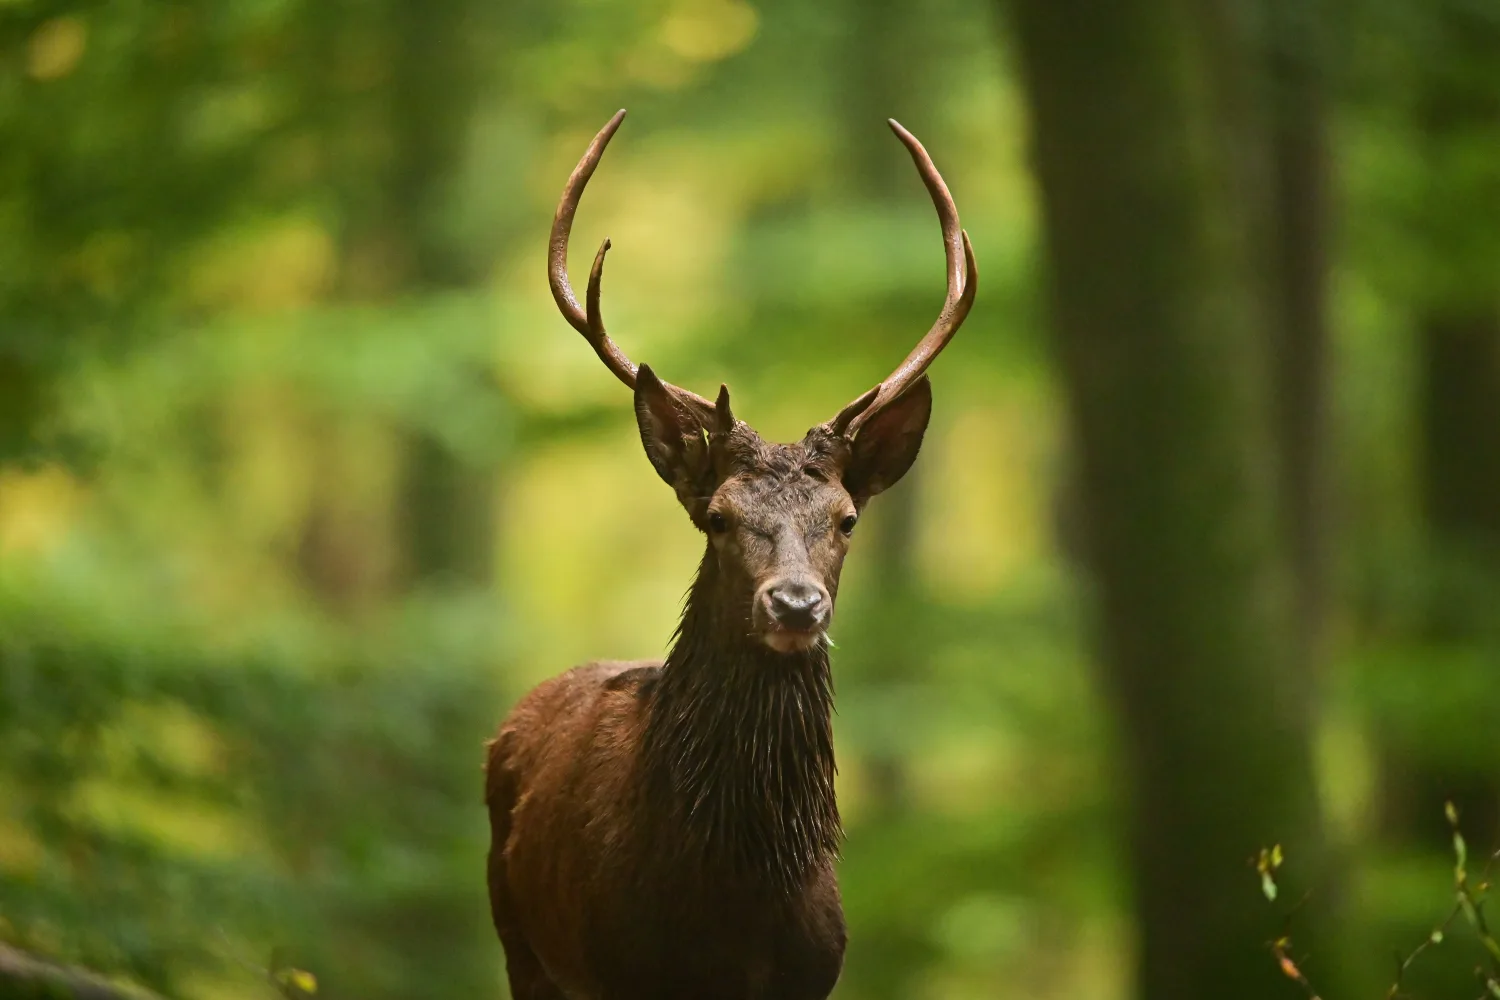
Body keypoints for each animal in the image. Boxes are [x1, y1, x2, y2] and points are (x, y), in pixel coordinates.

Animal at [484, 109, 976, 1000]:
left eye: (846, 518)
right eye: (716, 516)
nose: (795, 603)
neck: (731, 901)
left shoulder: (815, 975)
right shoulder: (617, 971)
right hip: (523, 946)